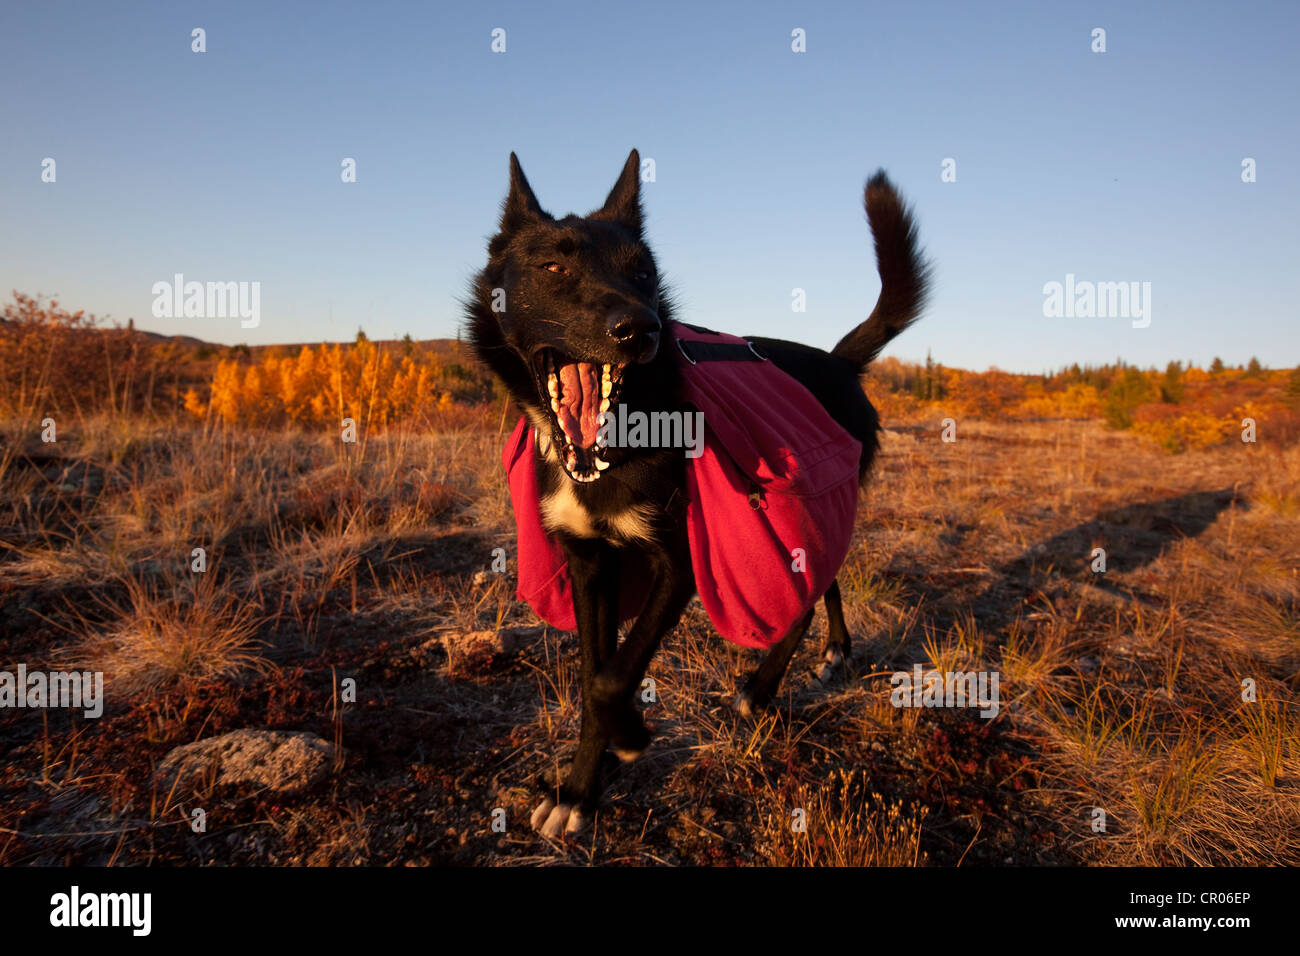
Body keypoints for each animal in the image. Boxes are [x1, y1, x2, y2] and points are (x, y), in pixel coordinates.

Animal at [462, 149, 930, 837]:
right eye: (553, 267)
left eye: (645, 272)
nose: (640, 329)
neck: (615, 448)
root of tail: (839, 361)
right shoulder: (589, 563)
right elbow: (595, 673)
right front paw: (579, 792)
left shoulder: (679, 562)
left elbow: (610, 680)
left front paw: (627, 736)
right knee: (824, 580)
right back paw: (830, 652)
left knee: (807, 595)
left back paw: (763, 688)